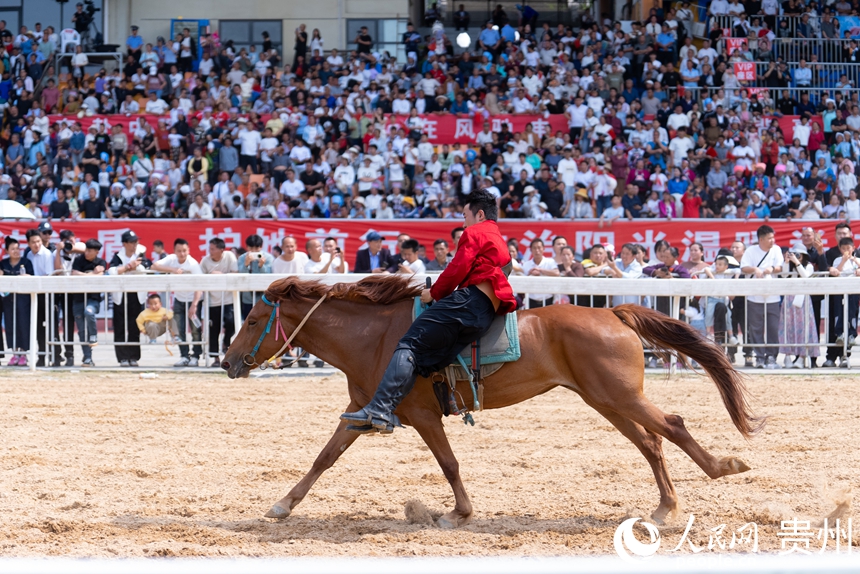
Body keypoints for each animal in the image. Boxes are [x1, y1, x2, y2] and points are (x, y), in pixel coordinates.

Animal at [221, 275, 765, 529]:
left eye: (251, 320)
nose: (228, 361)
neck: (377, 339)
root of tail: (613, 312)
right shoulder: (364, 414)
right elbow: (324, 458)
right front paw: (282, 505)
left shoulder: (422, 416)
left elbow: (449, 464)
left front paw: (456, 513)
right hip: (607, 401)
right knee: (651, 444)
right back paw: (663, 508)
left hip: (620, 397)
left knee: (672, 425)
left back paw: (725, 467)